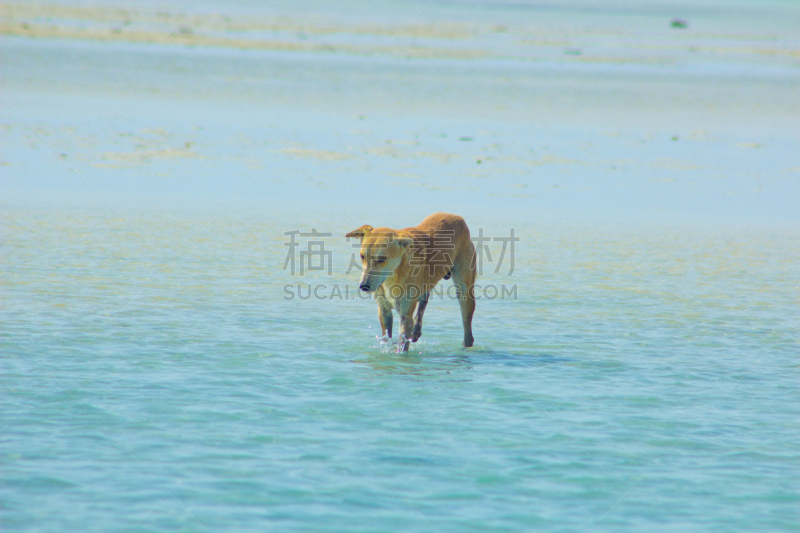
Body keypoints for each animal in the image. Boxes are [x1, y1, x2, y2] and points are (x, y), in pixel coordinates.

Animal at [346, 210, 476, 352]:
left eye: (382, 258)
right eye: (362, 256)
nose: (363, 286)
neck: (393, 275)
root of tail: (458, 218)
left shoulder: (405, 315)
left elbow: (402, 344)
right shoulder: (384, 310)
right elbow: (387, 338)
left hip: (464, 291)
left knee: (468, 331)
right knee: (423, 302)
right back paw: (416, 331)